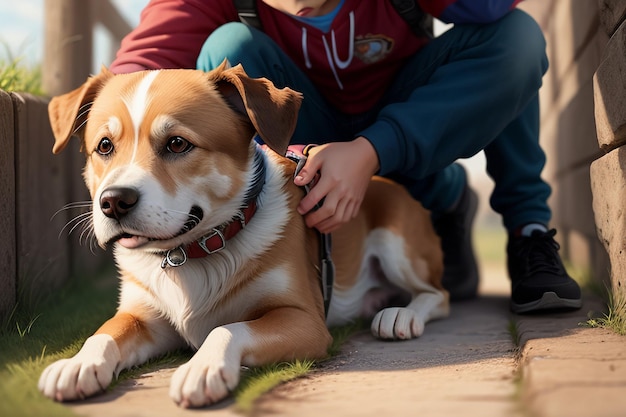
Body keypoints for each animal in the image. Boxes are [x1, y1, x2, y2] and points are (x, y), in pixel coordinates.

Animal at [39, 61, 446, 406]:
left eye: (178, 143)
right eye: (104, 146)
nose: (114, 202)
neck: (192, 253)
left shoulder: (304, 320)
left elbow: (228, 328)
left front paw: (202, 367)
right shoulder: (143, 317)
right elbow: (105, 331)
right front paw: (77, 363)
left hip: (398, 247)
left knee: (437, 295)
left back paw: (401, 316)